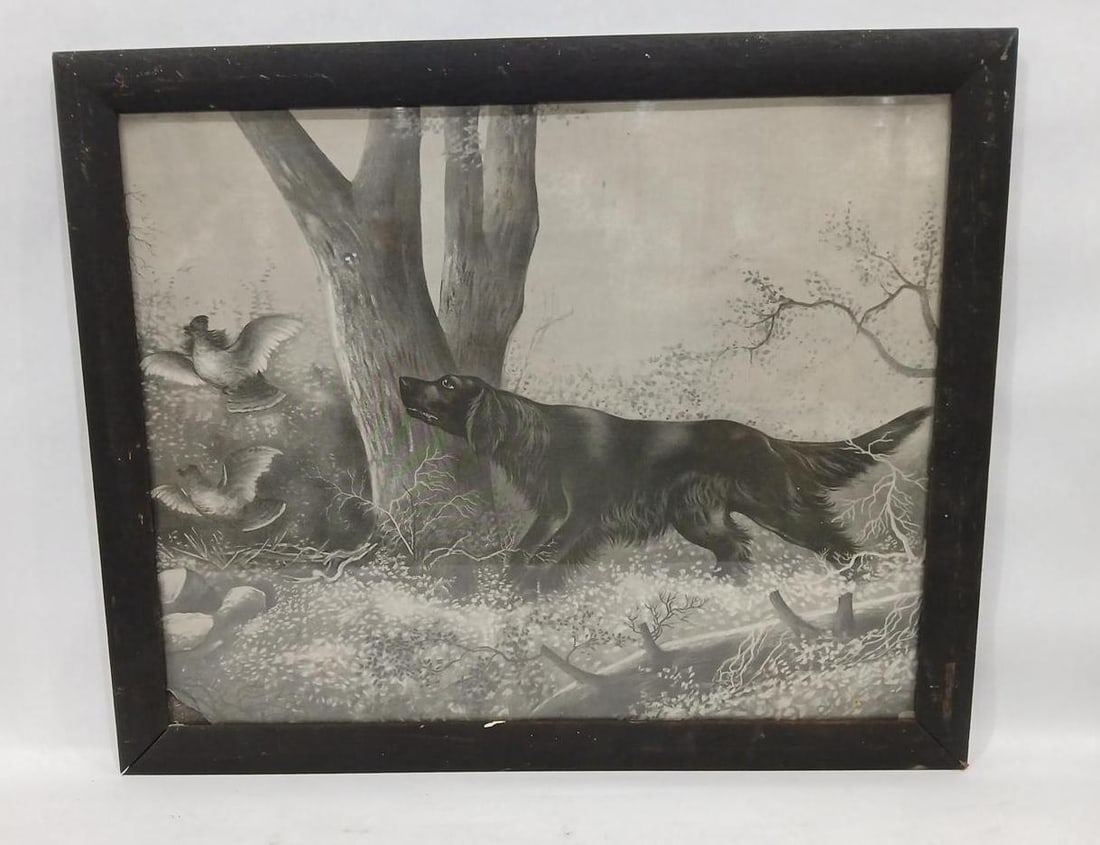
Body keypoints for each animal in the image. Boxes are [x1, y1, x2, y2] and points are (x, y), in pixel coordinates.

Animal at [399, 374, 930, 591]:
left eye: (447, 383)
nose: (402, 380)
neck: (543, 436)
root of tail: (770, 440)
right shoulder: (551, 512)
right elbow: (522, 552)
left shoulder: (582, 517)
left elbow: (544, 559)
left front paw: (529, 598)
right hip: (697, 514)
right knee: (735, 548)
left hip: (777, 506)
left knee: (839, 545)